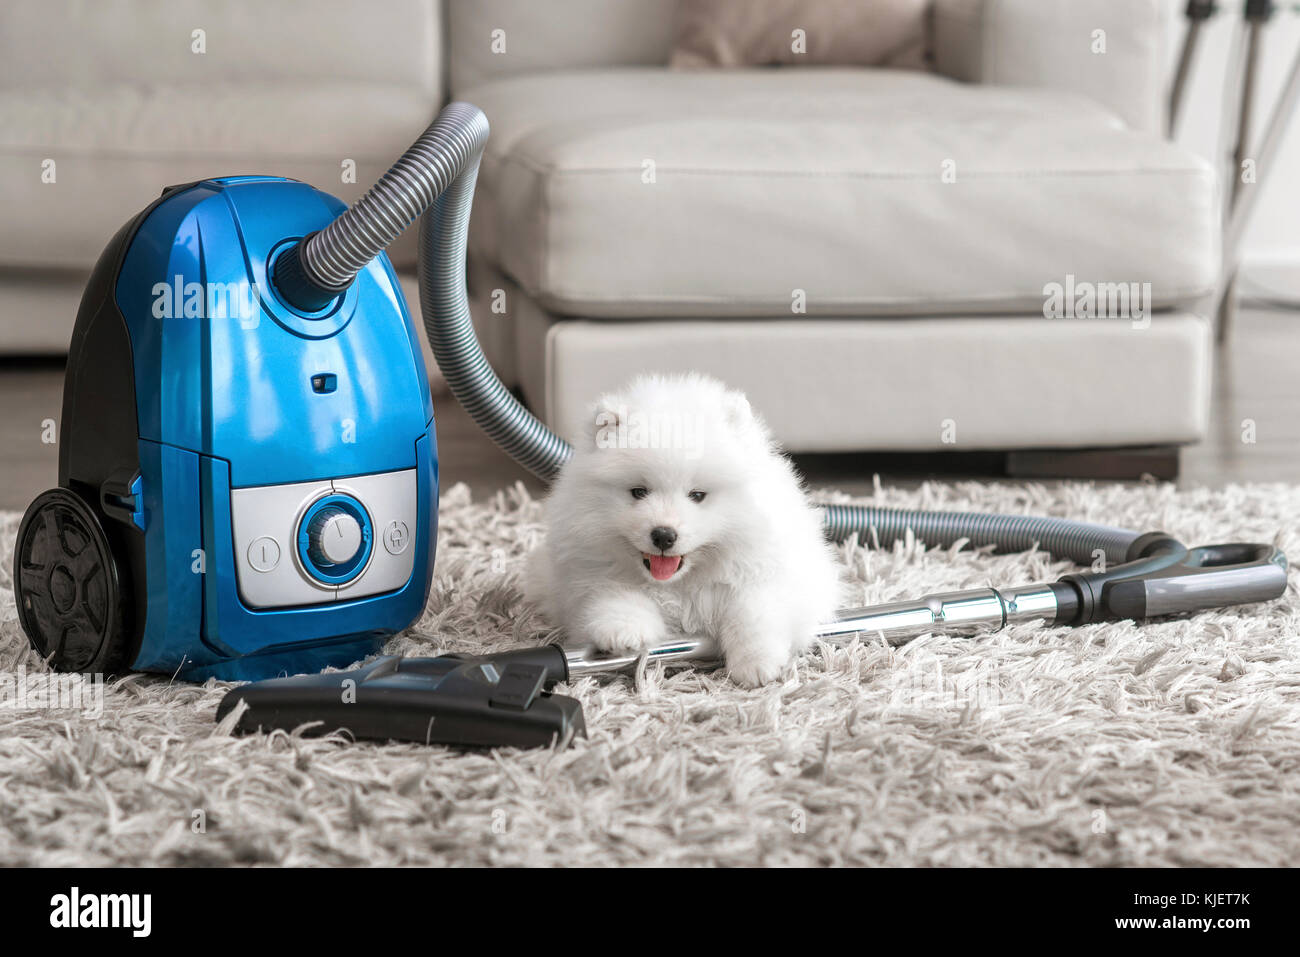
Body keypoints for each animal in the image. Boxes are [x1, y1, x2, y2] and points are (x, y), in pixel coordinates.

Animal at [525, 369, 842, 686]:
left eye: (697, 495)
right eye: (639, 492)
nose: (664, 535)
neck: (681, 585)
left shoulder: (767, 573)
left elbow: (752, 612)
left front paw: (757, 665)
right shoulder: (588, 574)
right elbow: (614, 594)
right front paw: (624, 631)